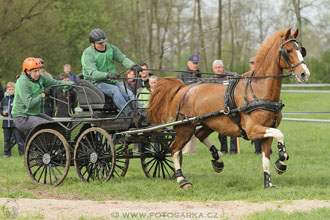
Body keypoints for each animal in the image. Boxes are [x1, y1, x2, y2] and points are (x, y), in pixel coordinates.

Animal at [147, 27, 310, 189]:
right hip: (185, 128)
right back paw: (182, 180)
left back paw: (217, 160)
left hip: (210, 123)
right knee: (174, 150)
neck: (259, 90)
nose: (304, 74)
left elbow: (266, 158)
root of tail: (183, 87)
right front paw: (281, 162)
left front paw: (269, 181)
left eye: (301, 50)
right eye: (288, 50)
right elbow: (280, 135)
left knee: (200, 135)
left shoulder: (268, 129)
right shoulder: (253, 130)